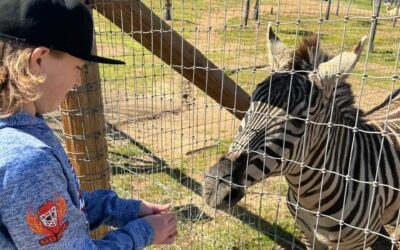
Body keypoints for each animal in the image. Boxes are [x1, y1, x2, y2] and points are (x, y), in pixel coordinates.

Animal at [203, 26, 400, 249]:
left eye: (299, 120)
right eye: (252, 102)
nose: (213, 187)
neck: (310, 199)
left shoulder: (352, 244)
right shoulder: (308, 235)